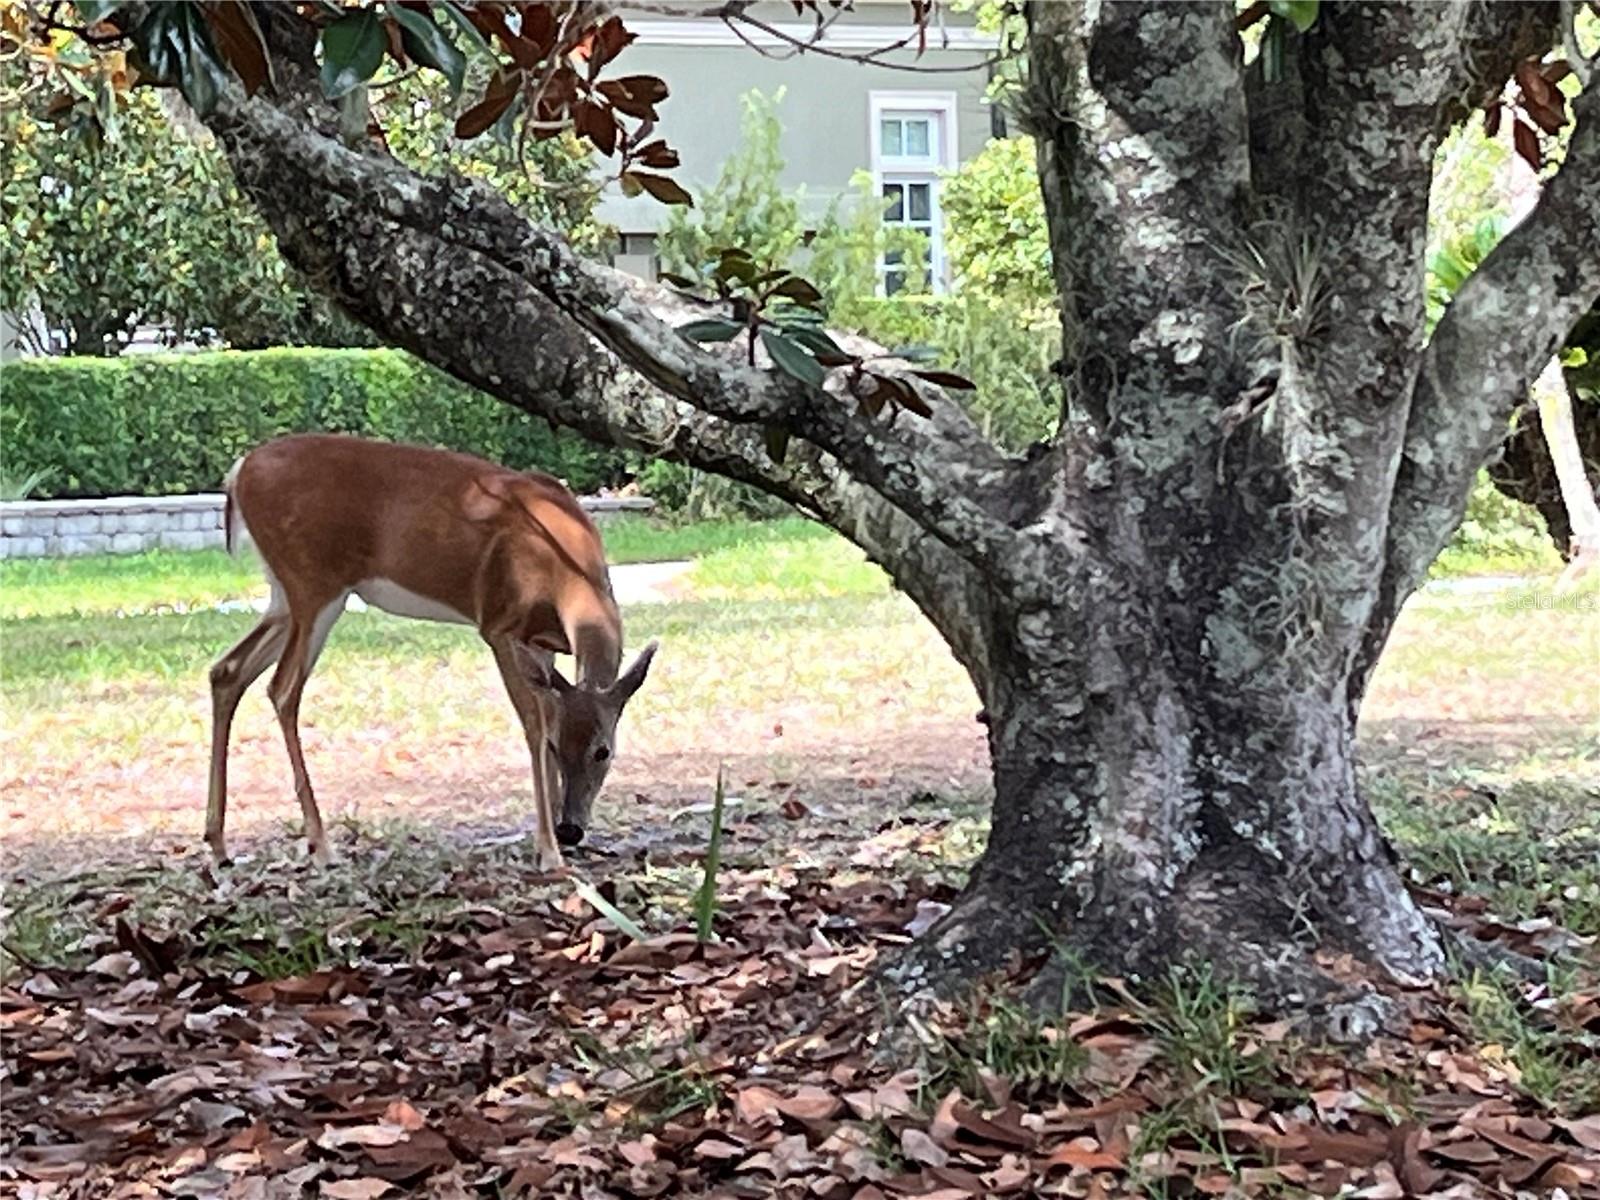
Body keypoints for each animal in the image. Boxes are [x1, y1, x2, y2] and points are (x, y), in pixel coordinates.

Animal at [206, 438, 656, 870]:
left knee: (227, 670)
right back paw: (321, 847)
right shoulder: (498, 626)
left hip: (284, 595)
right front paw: (547, 852)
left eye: (603, 751)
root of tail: (240, 471)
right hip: (312, 582)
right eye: (557, 748)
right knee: (282, 688)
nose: (571, 829)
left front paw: (549, 843)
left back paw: (220, 845)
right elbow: (532, 723)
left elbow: (546, 711)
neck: (563, 566)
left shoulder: (539, 644)